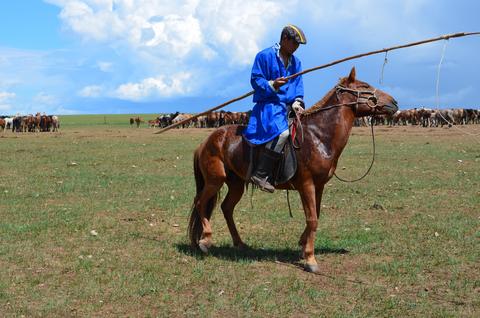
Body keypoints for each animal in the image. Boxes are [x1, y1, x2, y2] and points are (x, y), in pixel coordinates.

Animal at [188, 68, 398, 272]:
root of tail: (205, 142)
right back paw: (205, 240)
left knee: (226, 208)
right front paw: (310, 259)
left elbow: (315, 215)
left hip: (236, 184)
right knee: (200, 202)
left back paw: (238, 243)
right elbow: (312, 219)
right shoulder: (306, 185)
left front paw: (303, 245)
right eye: (364, 86)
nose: (394, 103)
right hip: (215, 180)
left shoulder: (318, 186)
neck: (318, 136)